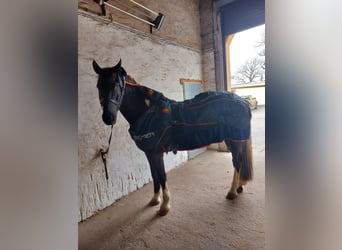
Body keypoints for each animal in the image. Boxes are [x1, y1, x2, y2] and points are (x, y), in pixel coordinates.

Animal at [92, 59, 252, 216]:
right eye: (98, 86)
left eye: (115, 84)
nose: (108, 117)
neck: (147, 113)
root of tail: (242, 101)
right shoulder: (149, 153)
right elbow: (154, 175)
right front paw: (155, 199)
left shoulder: (156, 153)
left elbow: (162, 176)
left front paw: (164, 206)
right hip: (234, 140)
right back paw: (238, 187)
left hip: (234, 140)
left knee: (237, 162)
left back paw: (232, 192)